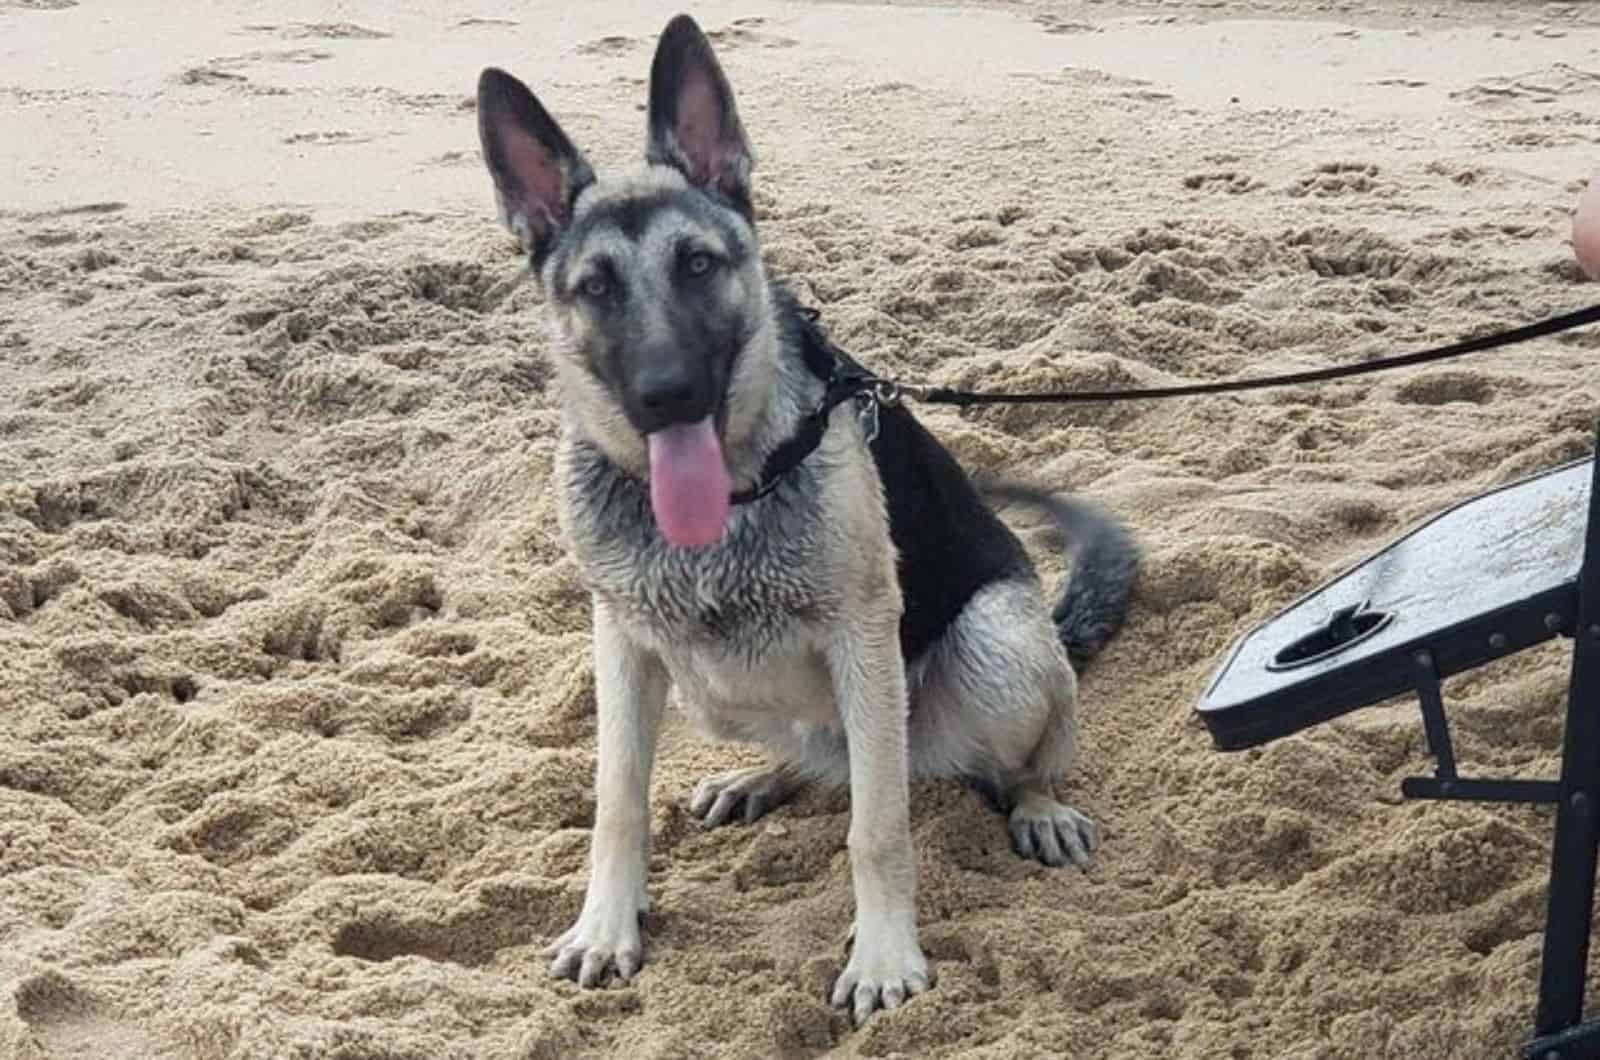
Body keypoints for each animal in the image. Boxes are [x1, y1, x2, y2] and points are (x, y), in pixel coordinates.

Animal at [470, 14, 1139, 1031]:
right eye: (595, 287)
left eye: (698, 265)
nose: (668, 396)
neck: (733, 494)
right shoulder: (621, 642)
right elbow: (617, 798)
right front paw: (607, 925)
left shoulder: (862, 639)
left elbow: (878, 827)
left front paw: (885, 957)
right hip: (715, 687)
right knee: (825, 757)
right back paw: (762, 777)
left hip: (993, 648)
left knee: (986, 761)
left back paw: (1035, 804)